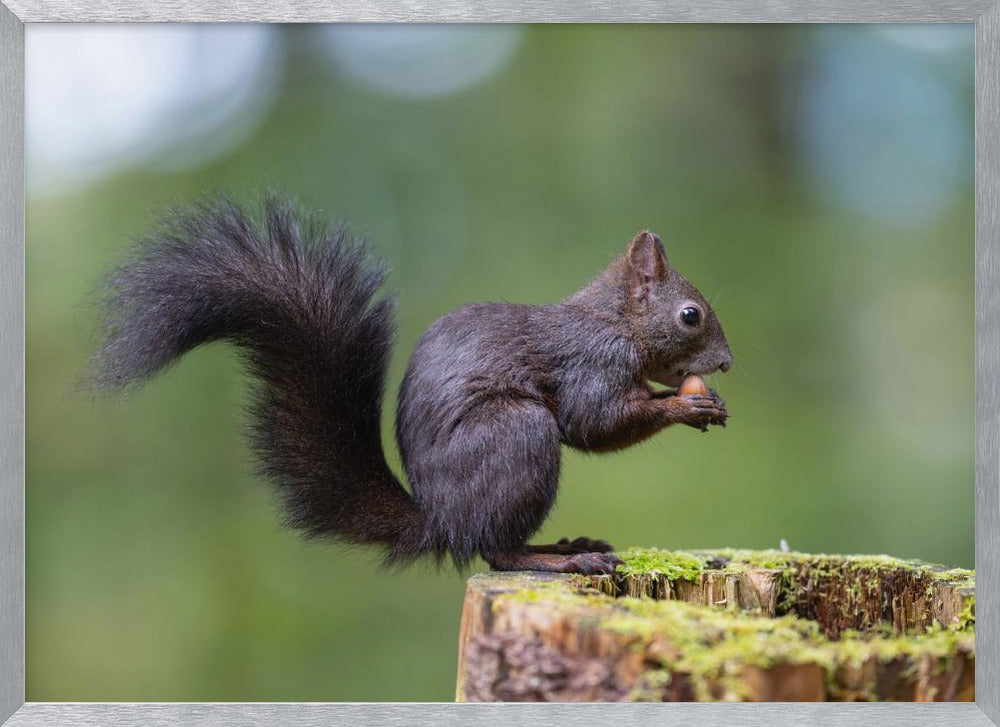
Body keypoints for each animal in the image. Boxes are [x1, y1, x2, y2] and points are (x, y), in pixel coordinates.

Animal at [90, 193, 732, 576]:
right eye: (690, 316)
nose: (725, 364)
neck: (613, 320)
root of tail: (440, 519)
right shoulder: (592, 363)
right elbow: (595, 424)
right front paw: (685, 407)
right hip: (516, 436)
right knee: (495, 551)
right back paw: (557, 560)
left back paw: (569, 547)